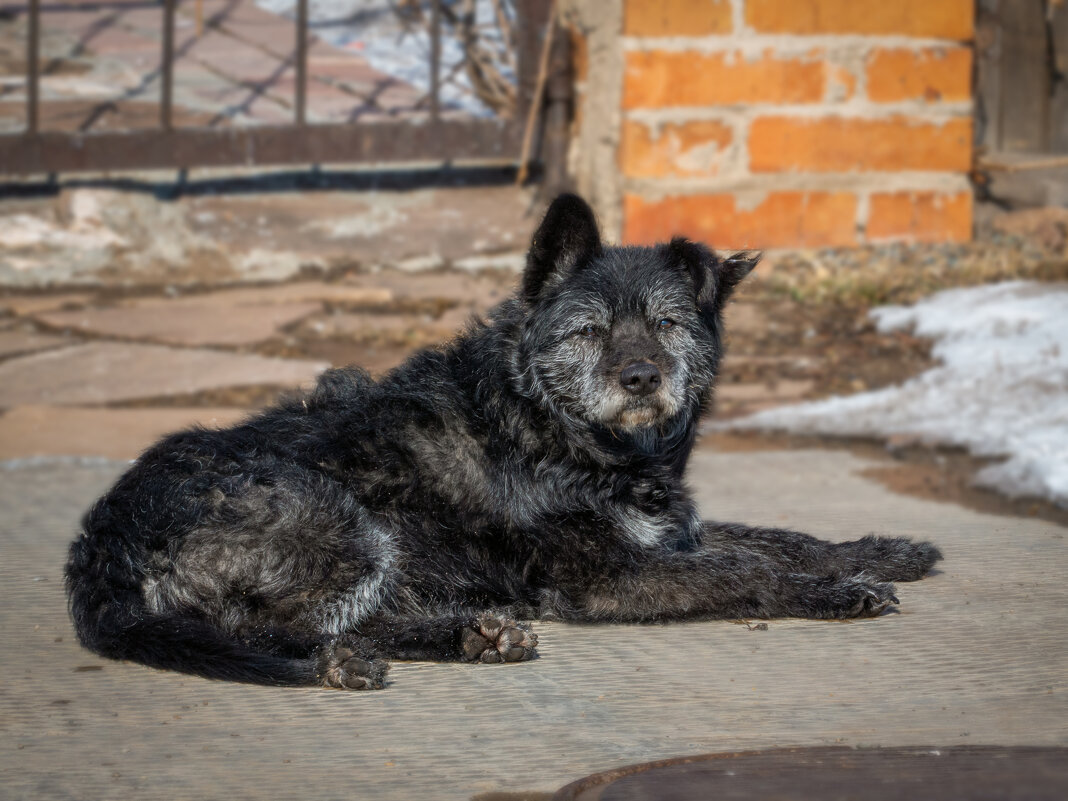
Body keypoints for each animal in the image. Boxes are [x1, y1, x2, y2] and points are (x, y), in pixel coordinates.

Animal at [64, 194, 944, 692]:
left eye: (668, 322)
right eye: (589, 330)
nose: (640, 377)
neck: (554, 429)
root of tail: (99, 544)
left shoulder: (671, 529)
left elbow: (781, 536)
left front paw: (884, 549)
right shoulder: (611, 578)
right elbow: (747, 569)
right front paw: (838, 591)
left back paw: (471, 634)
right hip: (345, 522)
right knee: (270, 633)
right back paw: (347, 663)